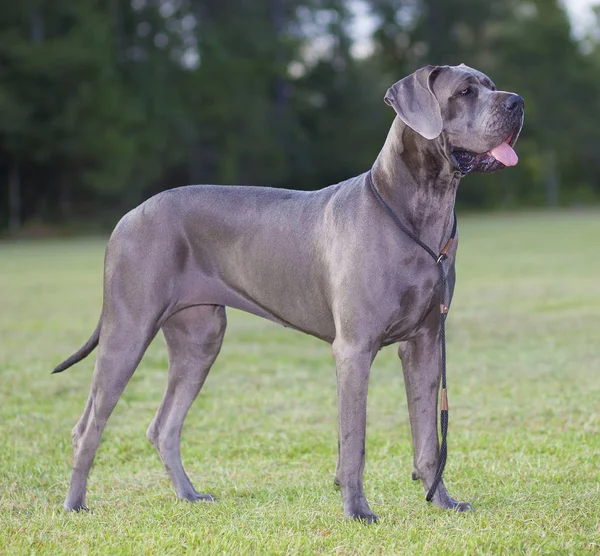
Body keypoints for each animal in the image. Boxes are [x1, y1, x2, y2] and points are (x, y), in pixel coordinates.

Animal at [56, 64, 524, 520]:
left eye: (492, 85)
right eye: (464, 92)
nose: (517, 102)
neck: (420, 209)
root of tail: (127, 217)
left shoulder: (425, 344)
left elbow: (428, 438)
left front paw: (441, 501)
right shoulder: (354, 349)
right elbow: (354, 441)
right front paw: (357, 510)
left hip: (200, 340)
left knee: (164, 426)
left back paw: (189, 495)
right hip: (128, 330)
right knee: (87, 426)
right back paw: (75, 504)